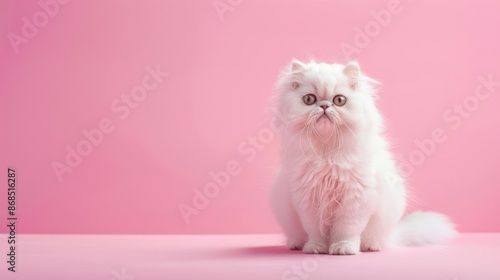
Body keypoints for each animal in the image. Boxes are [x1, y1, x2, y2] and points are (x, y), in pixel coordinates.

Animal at [270, 59, 458, 256]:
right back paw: (296, 244)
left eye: (339, 100)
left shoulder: (356, 197)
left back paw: (371, 246)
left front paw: (343, 248)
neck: (328, 151)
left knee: (374, 239)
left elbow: (346, 230)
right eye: (309, 99)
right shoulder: (308, 197)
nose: (324, 106)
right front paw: (316, 248)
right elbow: (315, 230)